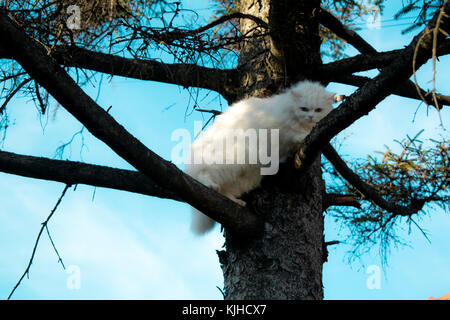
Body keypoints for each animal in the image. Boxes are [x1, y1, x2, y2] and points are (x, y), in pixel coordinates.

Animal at [185, 80, 342, 235]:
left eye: (318, 110)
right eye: (304, 109)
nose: (310, 117)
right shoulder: (282, 132)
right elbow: (294, 134)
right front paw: (303, 136)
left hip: (247, 176)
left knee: (224, 191)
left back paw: (237, 201)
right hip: (229, 161)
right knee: (205, 175)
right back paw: (209, 184)